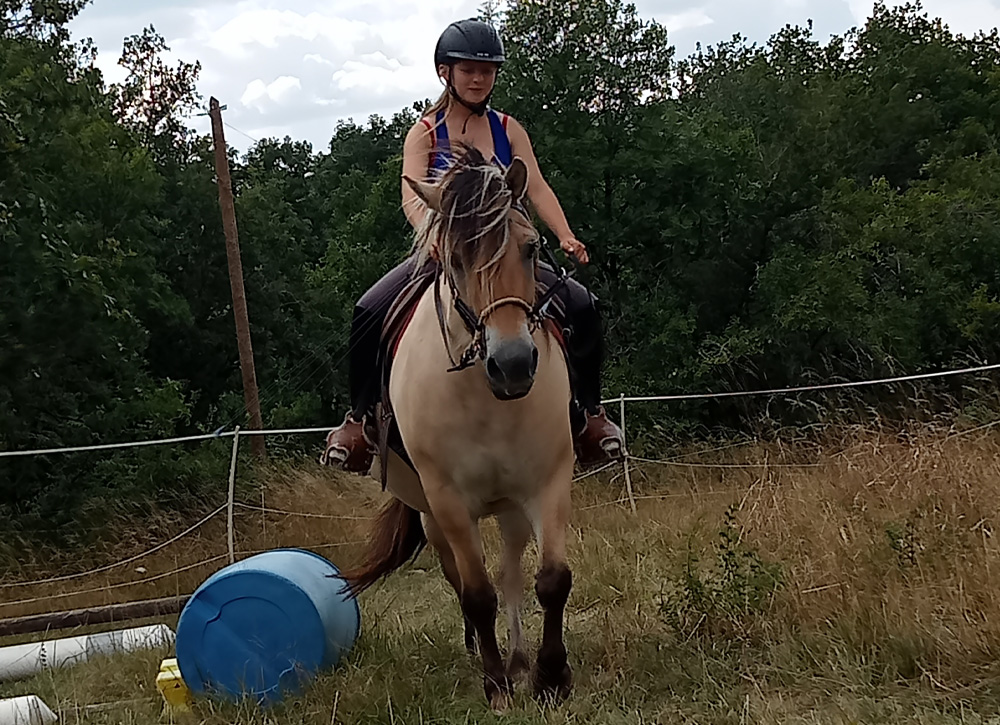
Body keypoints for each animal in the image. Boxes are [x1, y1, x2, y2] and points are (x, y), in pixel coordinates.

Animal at [340, 144, 577, 711]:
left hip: (509, 506)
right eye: (455, 260)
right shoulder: (448, 501)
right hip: (433, 517)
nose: (512, 364)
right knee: (461, 580)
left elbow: (551, 580)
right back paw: (483, 655)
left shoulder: (549, 482)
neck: (486, 398)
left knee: (511, 570)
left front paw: (550, 675)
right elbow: (476, 594)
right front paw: (495, 685)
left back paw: (519, 657)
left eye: (532, 248)